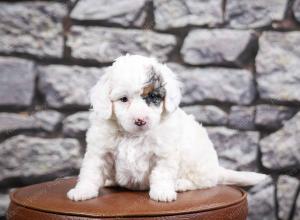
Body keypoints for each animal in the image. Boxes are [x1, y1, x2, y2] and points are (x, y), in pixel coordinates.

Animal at [67, 54, 266, 202]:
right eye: (124, 99)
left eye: (154, 97)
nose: (140, 120)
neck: (133, 136)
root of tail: (216, 169)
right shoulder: (99, 150)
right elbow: (91, 171)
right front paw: (83, 191)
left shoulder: (164, 153)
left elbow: (161, 173)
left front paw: (162, 192)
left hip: (196, 160)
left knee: (204, 182)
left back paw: (180, 184)